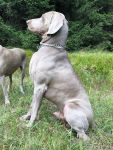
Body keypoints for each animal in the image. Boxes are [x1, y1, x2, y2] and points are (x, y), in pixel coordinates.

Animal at [20, 11, 93, 141]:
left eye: (43, 17)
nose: (27, 21)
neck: (51, 46)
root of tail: (92, 120)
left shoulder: (40, 86)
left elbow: (34, 108)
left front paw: (29, 125)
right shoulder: (36, 87)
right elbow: (32, 105)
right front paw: (25, 117)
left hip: (70, 106)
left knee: (83, 135)